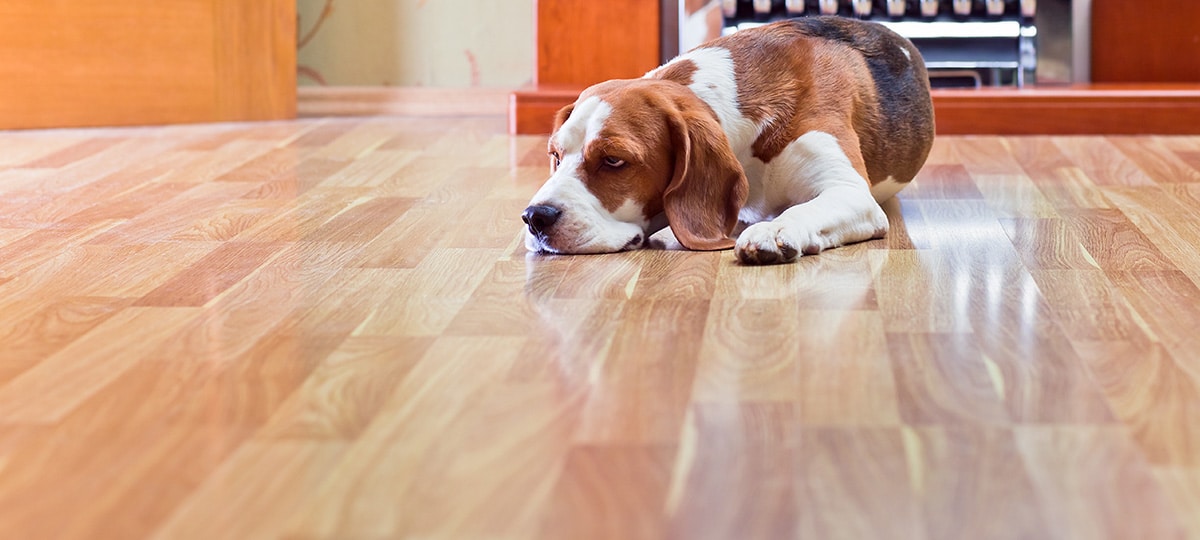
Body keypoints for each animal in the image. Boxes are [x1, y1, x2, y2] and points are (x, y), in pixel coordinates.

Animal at [525, 17, 936, 266]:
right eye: (556, 156)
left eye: (613, 160)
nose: (534, 217)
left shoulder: (850, 192)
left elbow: (804, 209)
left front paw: (774, 230)